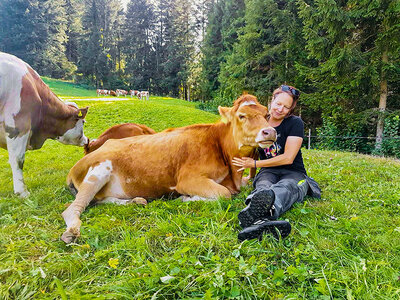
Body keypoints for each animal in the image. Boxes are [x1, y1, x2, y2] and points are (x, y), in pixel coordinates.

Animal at [61, 95, 276, 243]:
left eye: (267, 114)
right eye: (241, 116)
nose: (270, 131)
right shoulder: (187, 179)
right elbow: (223, 194)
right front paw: (185, 198)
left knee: (100, 201)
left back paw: (137, 201)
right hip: (99, 171)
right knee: (72, 209)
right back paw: (71, 231)